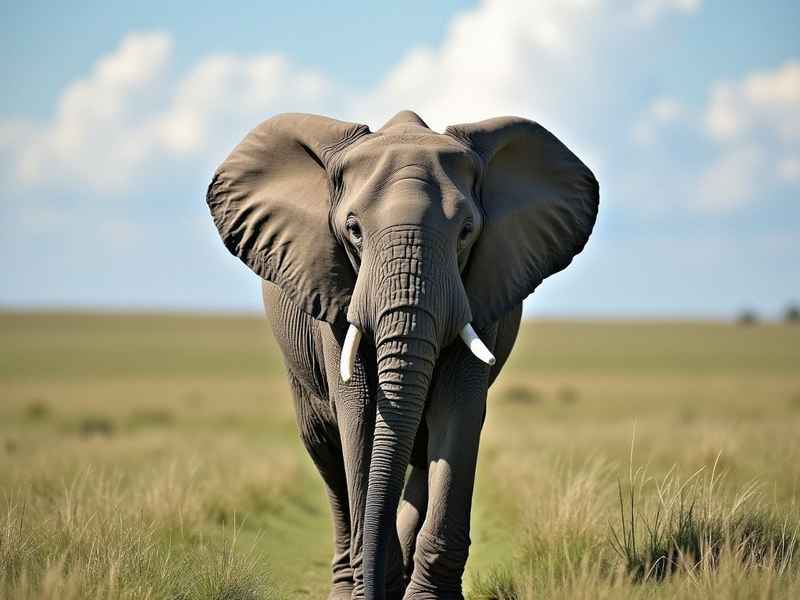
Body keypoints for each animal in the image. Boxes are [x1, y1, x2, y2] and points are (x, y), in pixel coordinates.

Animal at [206, 110, 598, 599]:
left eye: (466, 232)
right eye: (353, 230)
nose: (376, 589)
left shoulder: (480, 291)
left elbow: (457, 410)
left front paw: (425, 596)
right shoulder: (336, 295)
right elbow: (358, 415)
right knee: (326, 452)